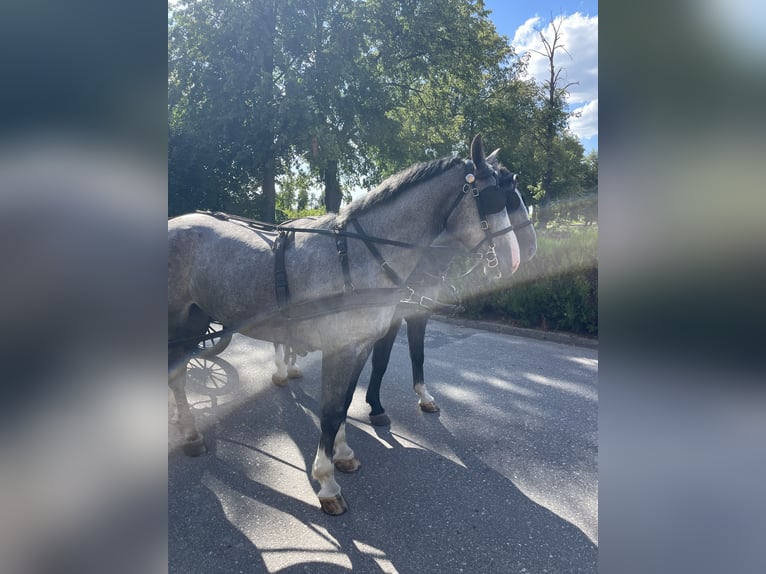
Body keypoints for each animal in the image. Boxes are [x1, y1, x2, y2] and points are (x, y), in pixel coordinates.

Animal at [170, 136, 520, 516]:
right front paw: (326, 482)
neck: (359, 257)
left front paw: (343, 454)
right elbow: (330, 411)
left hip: (195, 319)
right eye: (492, 198)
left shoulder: (360, 346)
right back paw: (190, 434)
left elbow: (344, 402)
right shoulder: (338, 349)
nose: (515, 260)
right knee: (176, 375)